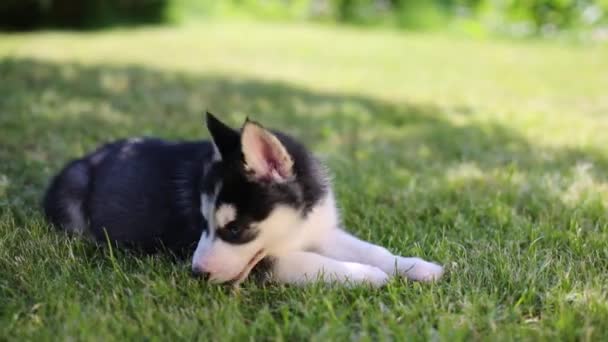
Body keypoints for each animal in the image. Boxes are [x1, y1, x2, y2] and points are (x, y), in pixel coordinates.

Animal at [42, 113, 442, 286]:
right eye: (203, 224)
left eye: (234, 230)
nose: (196, 273)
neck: (293, 226)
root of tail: (88, 157)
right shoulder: (273, 260)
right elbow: (313, 263)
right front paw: (366, 275)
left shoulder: (320, 229)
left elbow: (372, 249)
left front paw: (414, 267)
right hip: (73, 193)